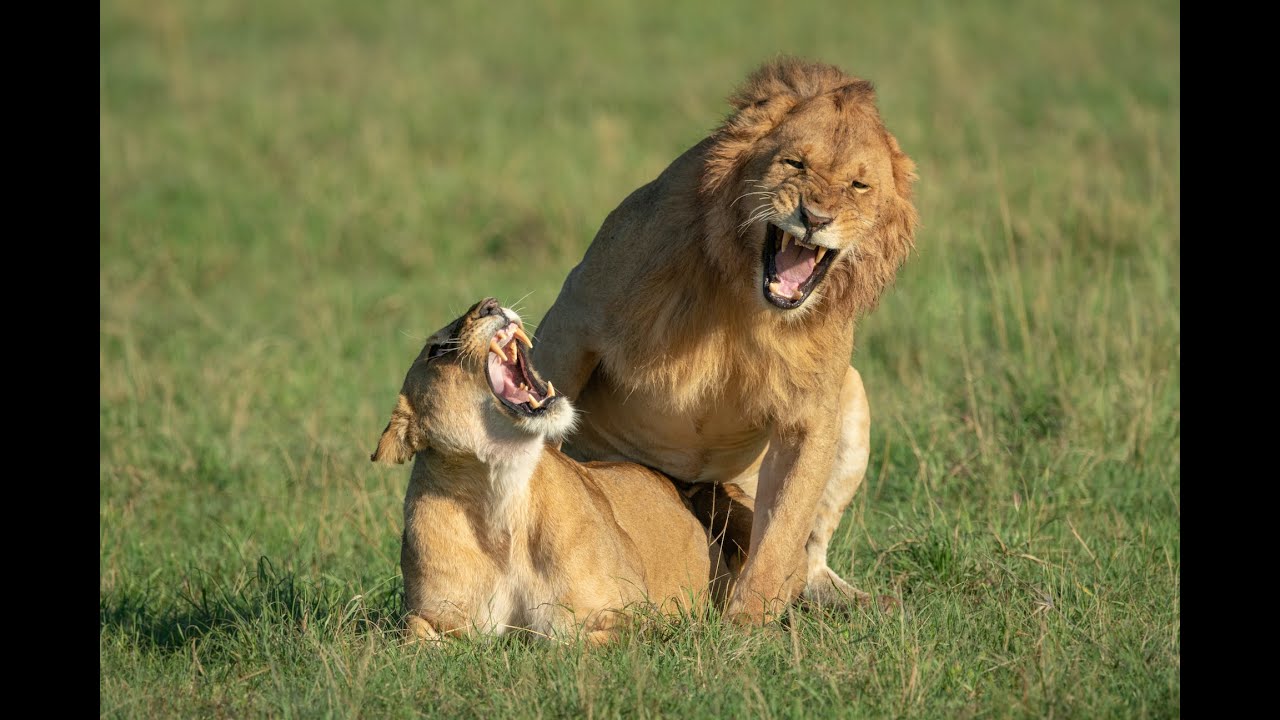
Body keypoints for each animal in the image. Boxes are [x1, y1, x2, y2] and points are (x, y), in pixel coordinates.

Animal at [532, 56, 921, 620]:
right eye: (793, 164)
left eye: (858, 185)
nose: (815, 218)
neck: (748, 303)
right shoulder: (573, 319)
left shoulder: (811, 412)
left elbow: (784, 530)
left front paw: (748, 623)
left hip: (853, 396)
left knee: (811, 552)